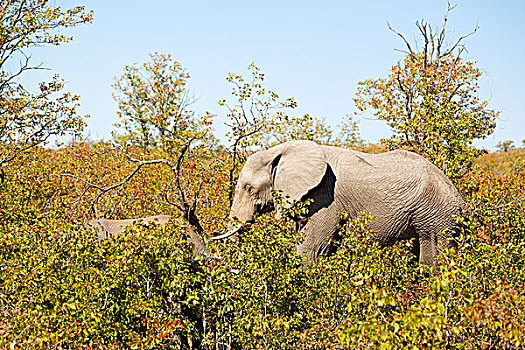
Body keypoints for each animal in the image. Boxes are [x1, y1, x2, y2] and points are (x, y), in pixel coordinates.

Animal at [211, 139, 464, 266]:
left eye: (249, 188)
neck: (281, 150)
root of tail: (461, 200)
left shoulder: (324, 196)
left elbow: (313, 247)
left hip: (439, 215)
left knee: (433, 255)